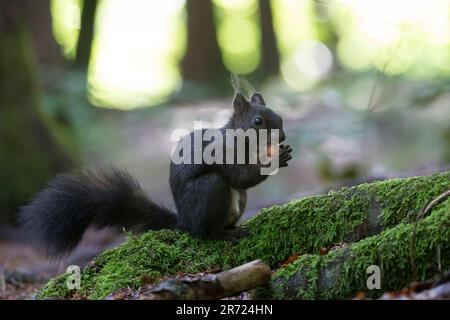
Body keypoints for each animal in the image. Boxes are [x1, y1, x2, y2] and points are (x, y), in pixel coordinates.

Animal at [17, 92, 294, 258]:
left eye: (279, 117)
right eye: (258, 121)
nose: (281, 137)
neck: (243, 142)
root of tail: (184, 222)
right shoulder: (223, 155)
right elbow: (239, 177)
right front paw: (274, 160)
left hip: (238, 200)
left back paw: (234, 227)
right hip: (209, 189)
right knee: (205, 232)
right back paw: (224, 234)